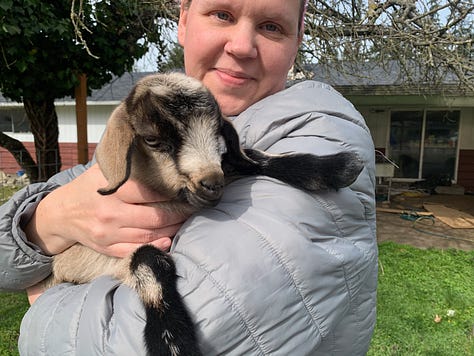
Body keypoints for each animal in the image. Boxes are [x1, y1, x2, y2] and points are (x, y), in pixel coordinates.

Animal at [47, 72, 362, 356]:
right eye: (152, 140)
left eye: (217, 132)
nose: (212, 184)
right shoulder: (96, 261)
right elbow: (149, 262)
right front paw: (172, 342)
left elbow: (253, 158)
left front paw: (334, 166)